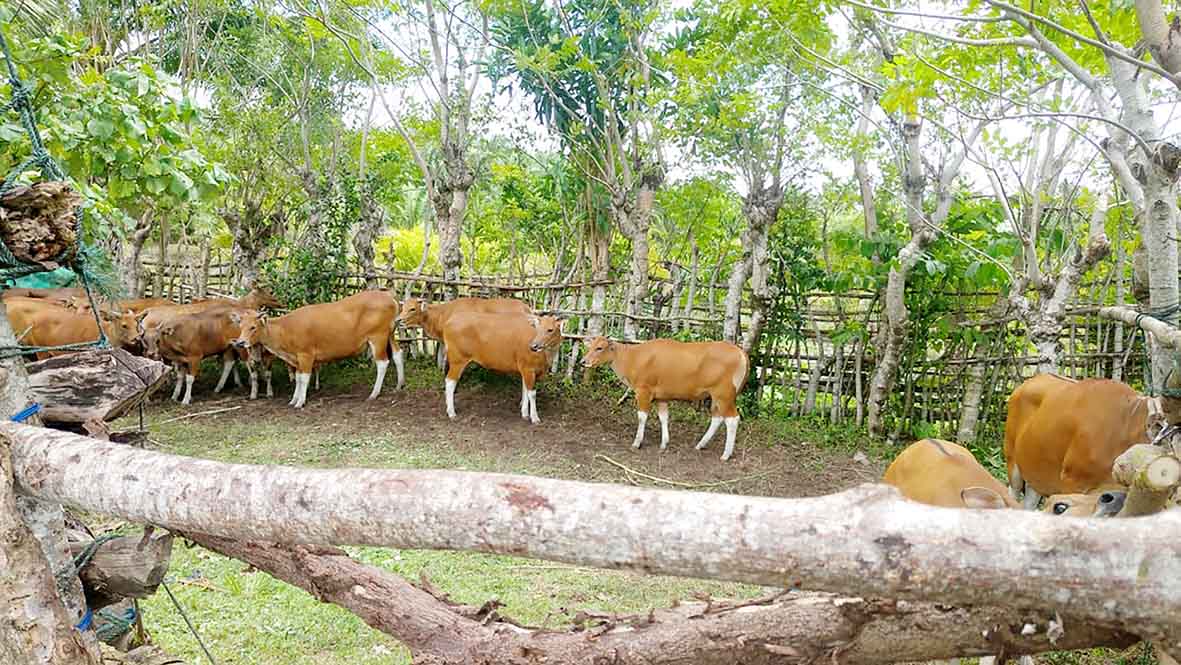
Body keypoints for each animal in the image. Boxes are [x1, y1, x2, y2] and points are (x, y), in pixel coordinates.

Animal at [230, 292, 406, 411]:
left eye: (253, 327)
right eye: (241, 326)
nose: (240, 342)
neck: (285, 329)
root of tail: (389, 296)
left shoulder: (306, 355)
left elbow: (304, 379)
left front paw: (300, 402)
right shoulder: (297, 358)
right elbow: (298, 378)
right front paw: (293, 399)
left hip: (378, 336)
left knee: (382, 362)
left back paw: (374, 393)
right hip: (390, 334)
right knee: (398, 354)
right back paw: (399, 385)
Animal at [581, 337, 746, 463]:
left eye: (600, 348)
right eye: (590, 346)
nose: (583, 361)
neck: (633, 357)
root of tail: (740, 352)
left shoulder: (643, 391)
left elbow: (642, 417)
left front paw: (637, 442)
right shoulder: (661, 397)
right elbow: (663, 417)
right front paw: (664, 443)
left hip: (724, 395)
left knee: (732, 419)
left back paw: (726, 454)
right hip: (716, 397)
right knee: (717, 418)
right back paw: (701, 444)